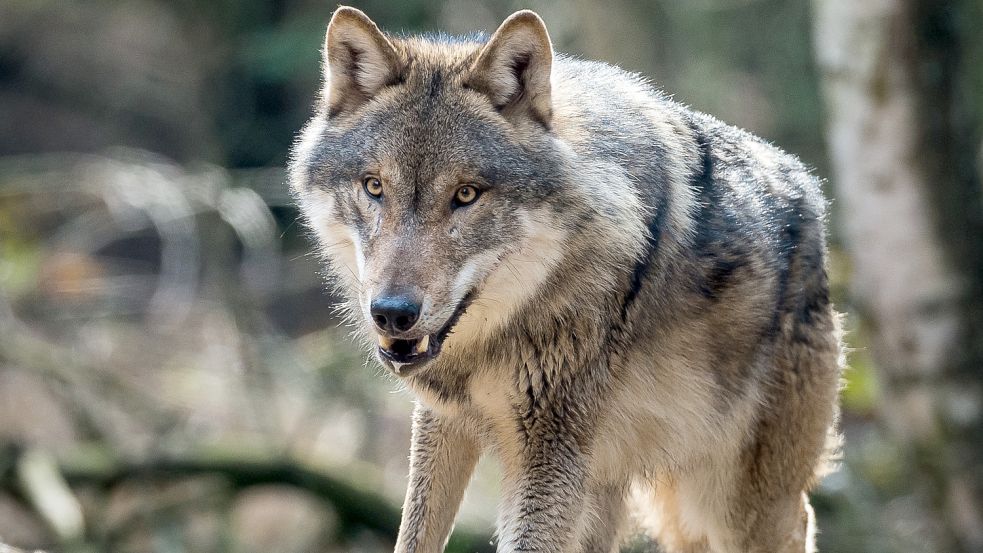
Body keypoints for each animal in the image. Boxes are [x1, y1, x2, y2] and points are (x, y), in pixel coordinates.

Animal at [288, 5, 840, 552]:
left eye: (466, 194)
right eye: (374, 186)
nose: (392, 313)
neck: (496, 338)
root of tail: (812, 192)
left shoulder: (550, 453)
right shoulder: (443, 422)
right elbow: (412, 536)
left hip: (731, 506)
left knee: (799, 517)